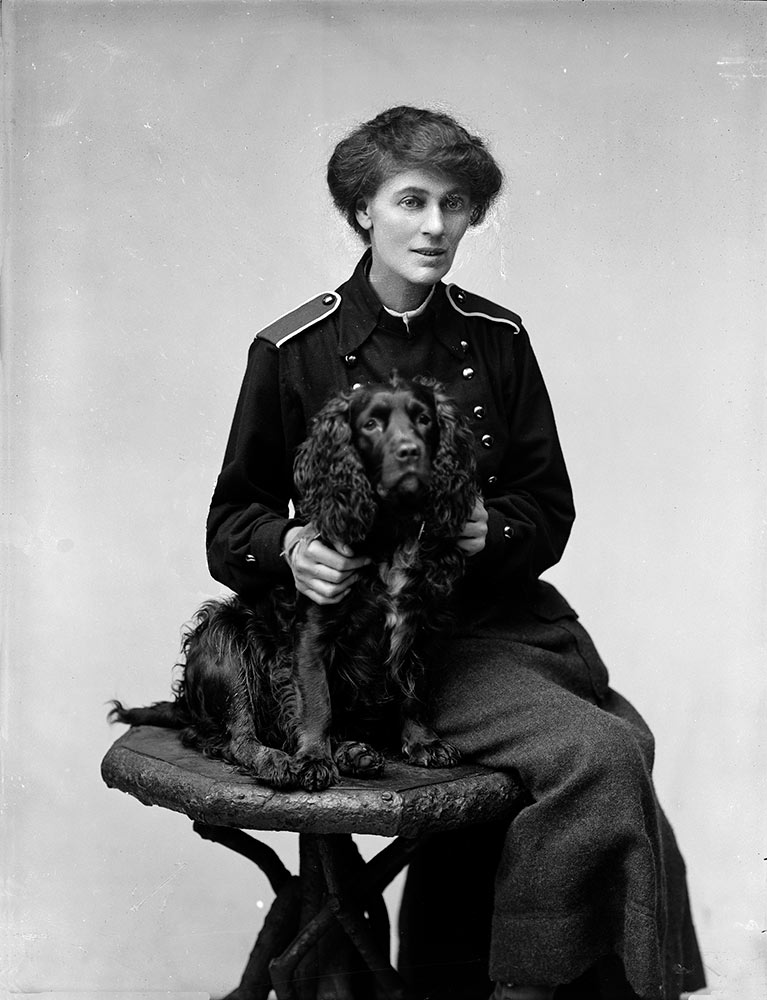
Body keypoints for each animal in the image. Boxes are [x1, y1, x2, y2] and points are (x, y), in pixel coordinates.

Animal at [109, 376, 480, 788]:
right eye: (371, 424)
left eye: (424, 419)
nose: (409, 452)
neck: (391, 531)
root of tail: (184, 704)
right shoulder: (311, 634)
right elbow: (317, 702)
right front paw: (313, 759)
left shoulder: (420, 626)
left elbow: (413, 691)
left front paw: (423, 743)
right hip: (224, 639)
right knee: (234, 739)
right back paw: (279, 761)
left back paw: (352, 752)